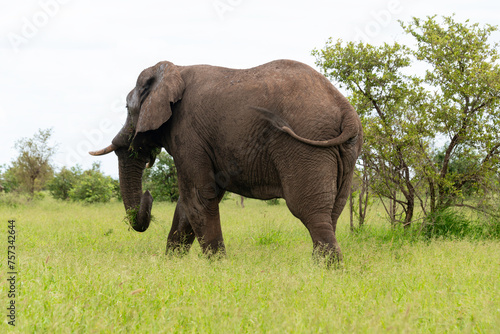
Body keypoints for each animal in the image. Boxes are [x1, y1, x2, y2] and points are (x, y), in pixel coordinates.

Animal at [90, 60, 362, 264]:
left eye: (128, 109)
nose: (149, 195)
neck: (174, 70)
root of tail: (345, 109)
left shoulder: (188, 133)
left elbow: (198, 196)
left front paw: (218, 265)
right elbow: (190, 202)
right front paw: (172, 263)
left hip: (304, 146)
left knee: (309, 210)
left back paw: (327, 270)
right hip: (348, 150)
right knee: (334, 209)